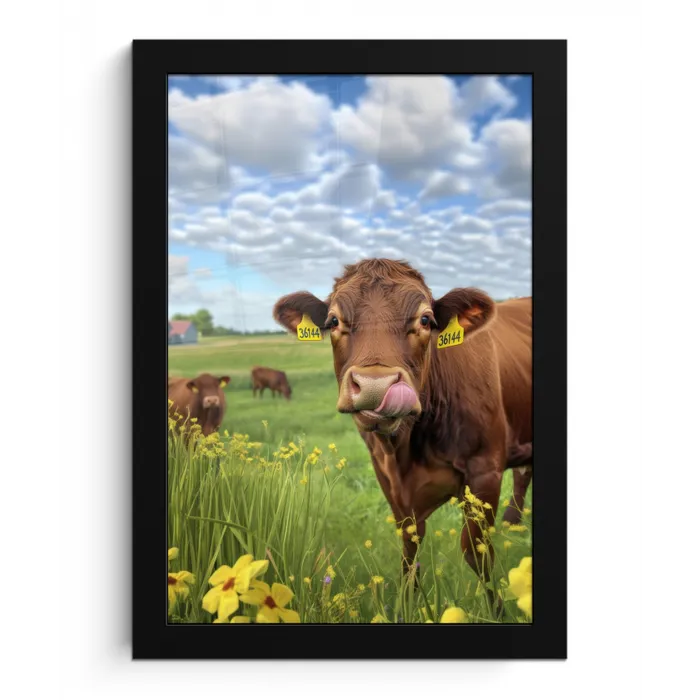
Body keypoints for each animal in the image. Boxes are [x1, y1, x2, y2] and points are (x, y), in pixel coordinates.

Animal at [273, 258, 532, 604]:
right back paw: (513, 523)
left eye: (425, 319)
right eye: (333, 320)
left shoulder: (485, 469)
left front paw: (496, 609)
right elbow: (410, 547)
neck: (407, 450)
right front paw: (407, 604)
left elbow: (477, 552)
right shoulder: (387, 477)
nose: (375, 385)